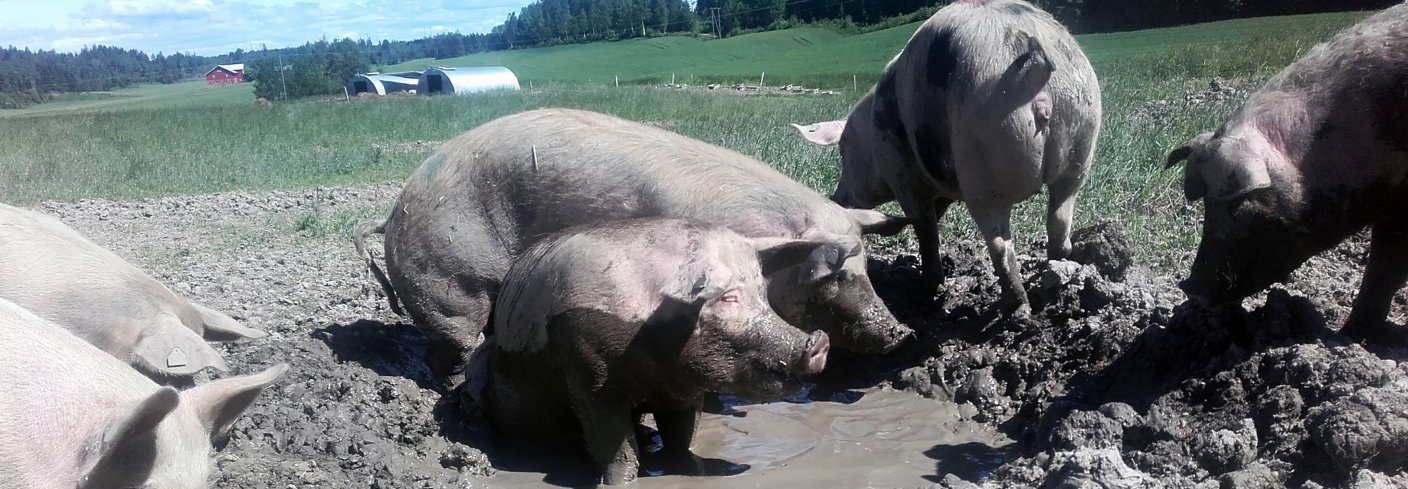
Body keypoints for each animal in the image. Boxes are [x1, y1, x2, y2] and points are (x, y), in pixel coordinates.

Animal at [354, 108, 912, 386]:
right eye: (829, 274)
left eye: (868, 267)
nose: (899, 331)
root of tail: (392, 214)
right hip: (450, 286)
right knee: (451, 350)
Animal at [473, 219, 827, 487]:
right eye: (728, 297)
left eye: (763, 294)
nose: (820, 342)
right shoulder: (588, 375)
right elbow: (615, 444)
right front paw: (617, 482)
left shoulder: (685, 390)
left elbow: (682, 435)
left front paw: (685, 464)